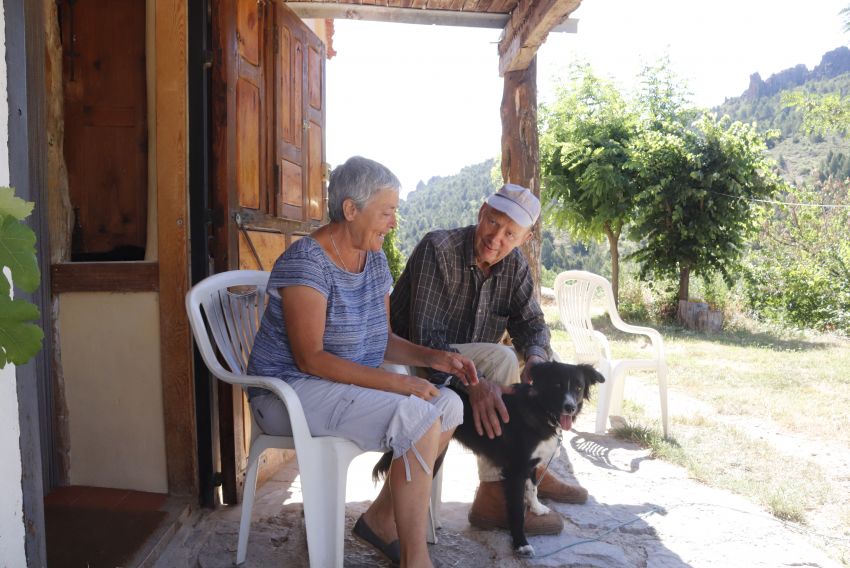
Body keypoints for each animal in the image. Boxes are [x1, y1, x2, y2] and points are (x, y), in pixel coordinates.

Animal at [372, 364, 604, 556]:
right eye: (557, 385)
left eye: (578, 387)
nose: (570, 407)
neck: (540, 411)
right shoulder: (515, 470)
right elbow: (517, 510)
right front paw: (521, 544)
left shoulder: (530, 463)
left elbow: (533, 487)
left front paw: (537, 509)